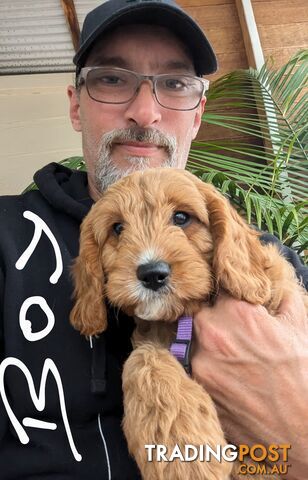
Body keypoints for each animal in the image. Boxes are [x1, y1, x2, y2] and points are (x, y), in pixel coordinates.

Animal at [71, 167, 306, 478]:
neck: (186, 316)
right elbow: (143, 359)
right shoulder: (153, 339)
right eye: (117, 228)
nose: (152, 274)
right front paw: (184, 457)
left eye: (181, 217)